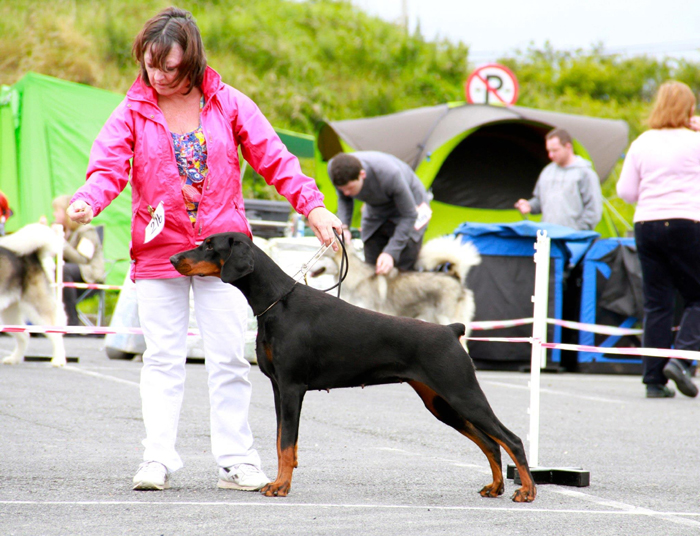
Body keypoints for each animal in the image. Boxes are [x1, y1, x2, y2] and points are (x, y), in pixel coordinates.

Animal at [0, 223, 67, 368]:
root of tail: (33, 256)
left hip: (38, 307)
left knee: (56, 333)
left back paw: (58, 360)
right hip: (8, 314)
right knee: (25, 335)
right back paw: (14, 359)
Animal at [170, 233, 536, 502]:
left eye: (209, 246)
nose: (172, 259)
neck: (276, 302)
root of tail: (450, 329)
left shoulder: (291, 387)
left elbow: (286, 444)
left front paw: (281, 486)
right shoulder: (278, 388)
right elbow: (281, 441)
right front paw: (280, 481)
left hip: (462, 392)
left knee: (512, 439)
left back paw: (527, 491)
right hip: (441, 403)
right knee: (490, 442)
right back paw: (495, 487)